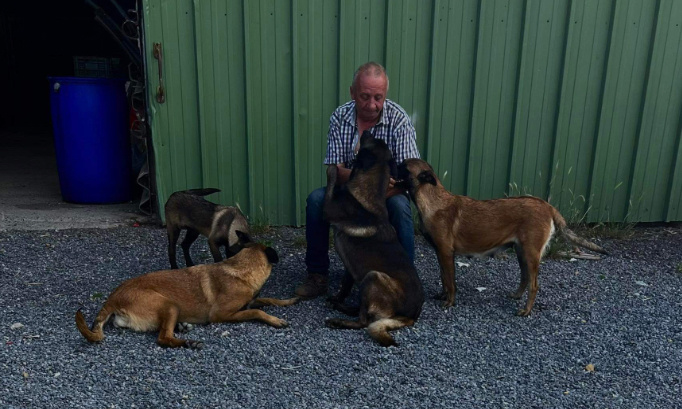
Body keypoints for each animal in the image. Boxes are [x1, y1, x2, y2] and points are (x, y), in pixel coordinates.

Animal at [75, 231, 298, 350]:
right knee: (163, 338)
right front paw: (275, 320)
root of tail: (113, 298)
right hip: (169, 304)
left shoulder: (251, 299)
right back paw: (187, 342)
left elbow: (268, 299)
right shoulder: (222, 314)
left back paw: (182, 328)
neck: (241, 268)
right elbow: (257, 311)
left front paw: (289, 301)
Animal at [322, 130, 422, 344]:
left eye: (371, 140)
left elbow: (331, 176)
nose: (367, 130)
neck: (369, 191)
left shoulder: (328, 209)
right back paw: (342, 307)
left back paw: (338, 320)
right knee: (363, 313)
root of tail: (411, 315)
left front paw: (333, 168)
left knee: (363, 322)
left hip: (372, 276)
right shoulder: (350, 268)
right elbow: (345, 285)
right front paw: (338, 297)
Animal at [396, 159, 608, 316]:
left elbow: (450, 281)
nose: (390, 161)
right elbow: (443, 277)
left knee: (534, 284)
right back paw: (516, 296)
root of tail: (547, 206)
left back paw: (526, 311)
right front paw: (443, 295)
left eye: (403, 166)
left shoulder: (446, 253)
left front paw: (450, 301)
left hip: (531, 254)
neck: (433, 200)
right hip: (522, 253)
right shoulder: (441, 253)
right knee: (525, 277)